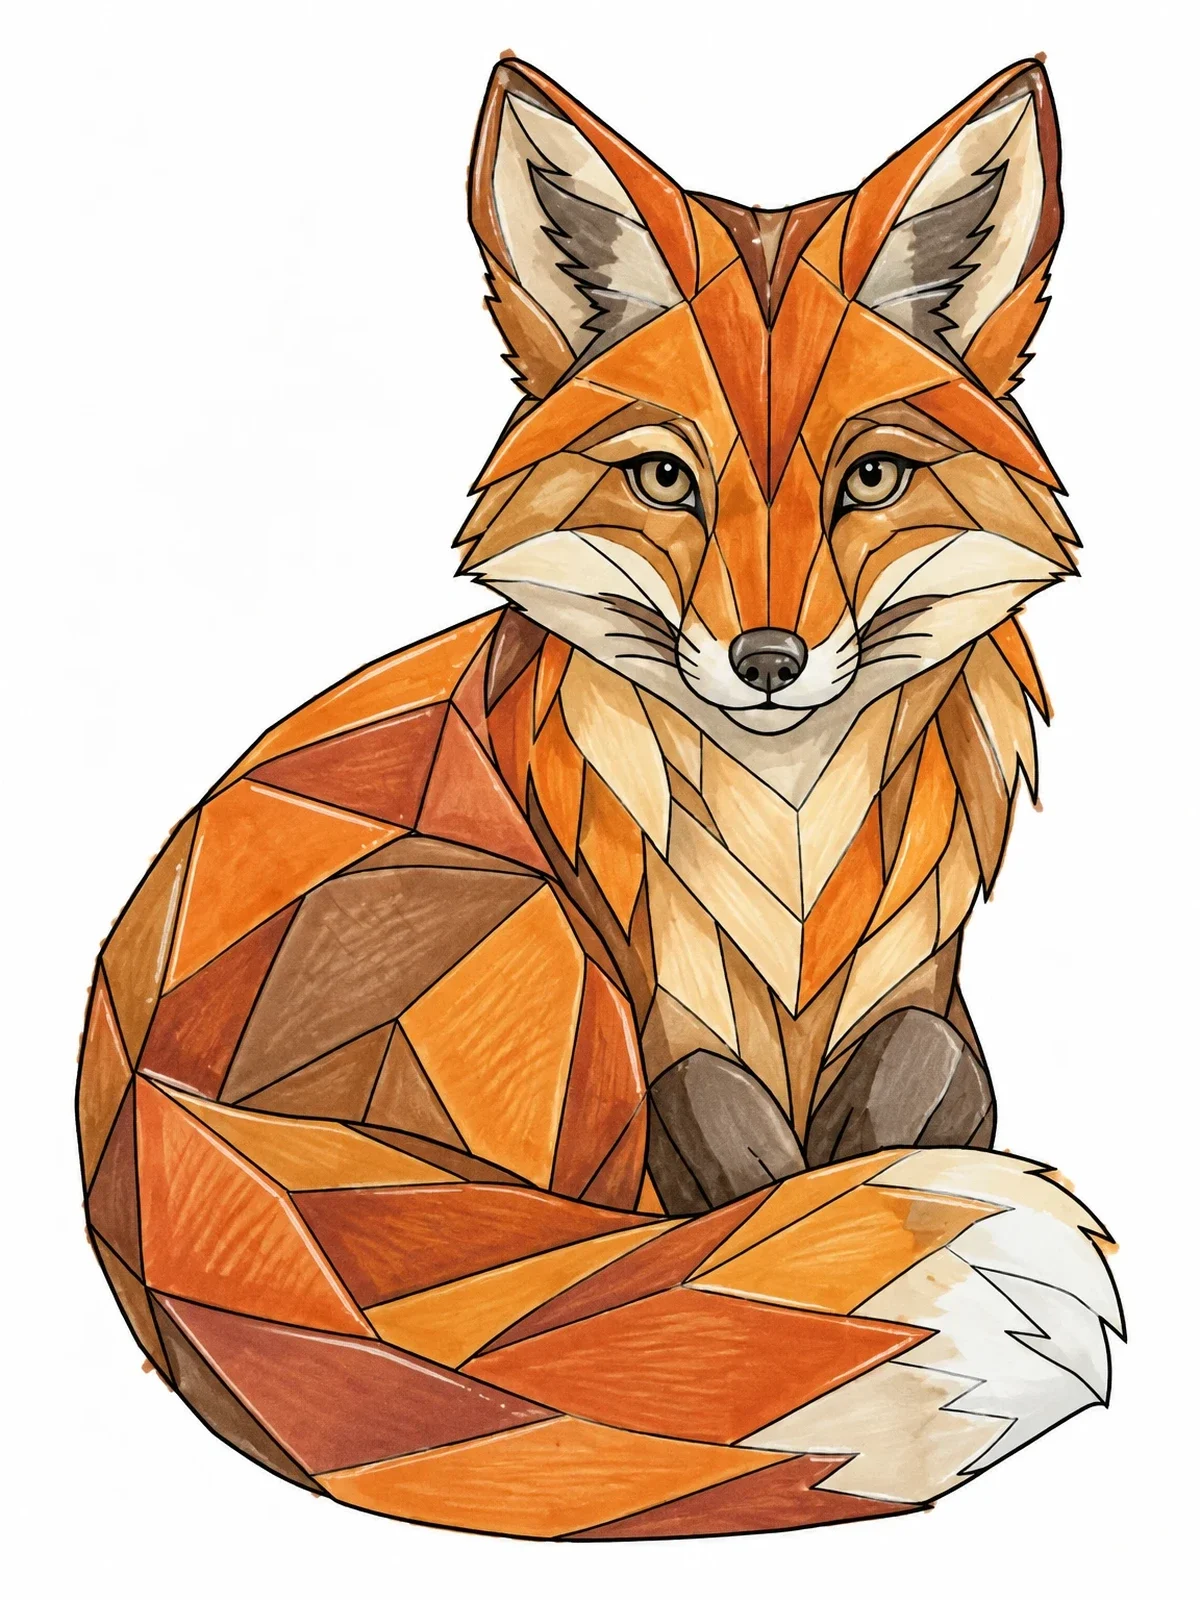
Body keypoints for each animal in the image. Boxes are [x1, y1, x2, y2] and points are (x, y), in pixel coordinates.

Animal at [77, 56, 1121, 1539]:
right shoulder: (676, 1021)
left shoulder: (922, 995)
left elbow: (907, 1102)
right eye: (664, 479)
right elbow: (753, 1199)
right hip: (542, 954)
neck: (788, 853)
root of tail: (141, 1104)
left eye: (870, 478)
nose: (767, 661)